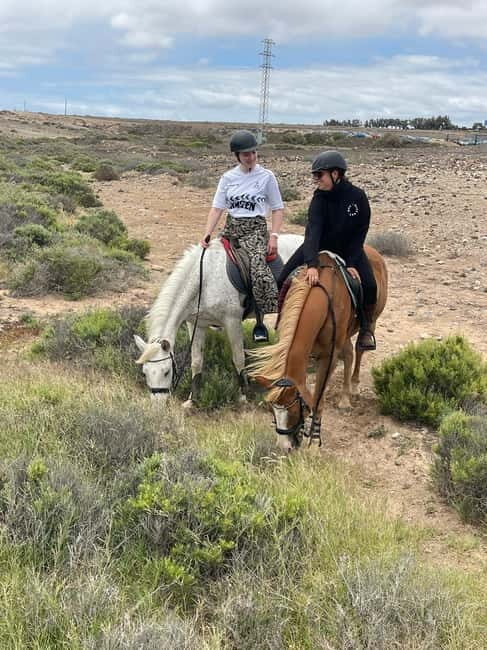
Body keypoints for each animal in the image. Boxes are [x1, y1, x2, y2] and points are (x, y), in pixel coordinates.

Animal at [134, 234, 304, 407]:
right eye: (144, 373)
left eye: (167, 371)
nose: (158, 405)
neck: (204, 280)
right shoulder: (196, 324)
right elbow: (196, 362)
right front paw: (192, 400)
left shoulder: (232, 322)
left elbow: (238, 359)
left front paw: (243, 397)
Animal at [249, 245, 388, 452]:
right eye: (271, 410)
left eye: (295, 409)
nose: (284, 447)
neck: (322, 301)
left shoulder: (328, 357)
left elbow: (318, 400)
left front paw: (314, 442)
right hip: (345, 335)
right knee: (349, 354)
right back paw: (344, 398)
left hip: (371, 322)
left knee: (359, 349)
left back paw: (354, 387)